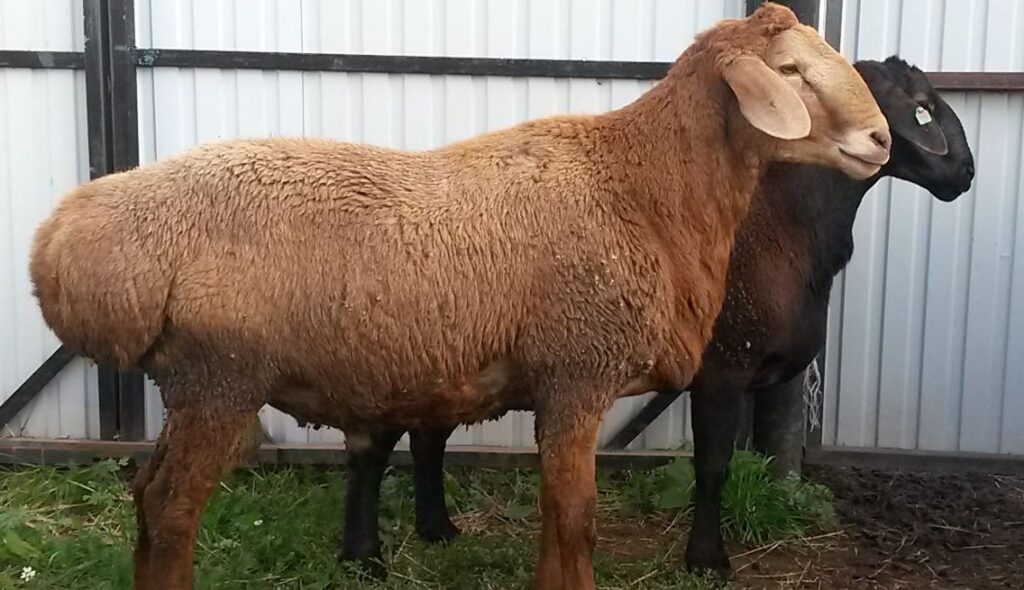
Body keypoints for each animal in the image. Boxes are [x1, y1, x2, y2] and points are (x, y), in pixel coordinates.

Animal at [29, 5, 890, 589]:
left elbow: (556, 517)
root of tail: (65, 240)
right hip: (221, 377)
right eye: (790, 74)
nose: (881, 140)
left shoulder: (558, 384)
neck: (641, 185)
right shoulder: (577, 372)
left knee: (145, 495)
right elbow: (577, 519)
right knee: (174, 508)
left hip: (189, 383)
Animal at [340, 56, 975, 581]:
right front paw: (707, 560)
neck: (785, 227)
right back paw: (363, 557)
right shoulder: (721, 371)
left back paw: (437, 530)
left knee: (427, 434)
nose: (965, 175)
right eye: (920, 105)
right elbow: (713, 466)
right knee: (376, 446)